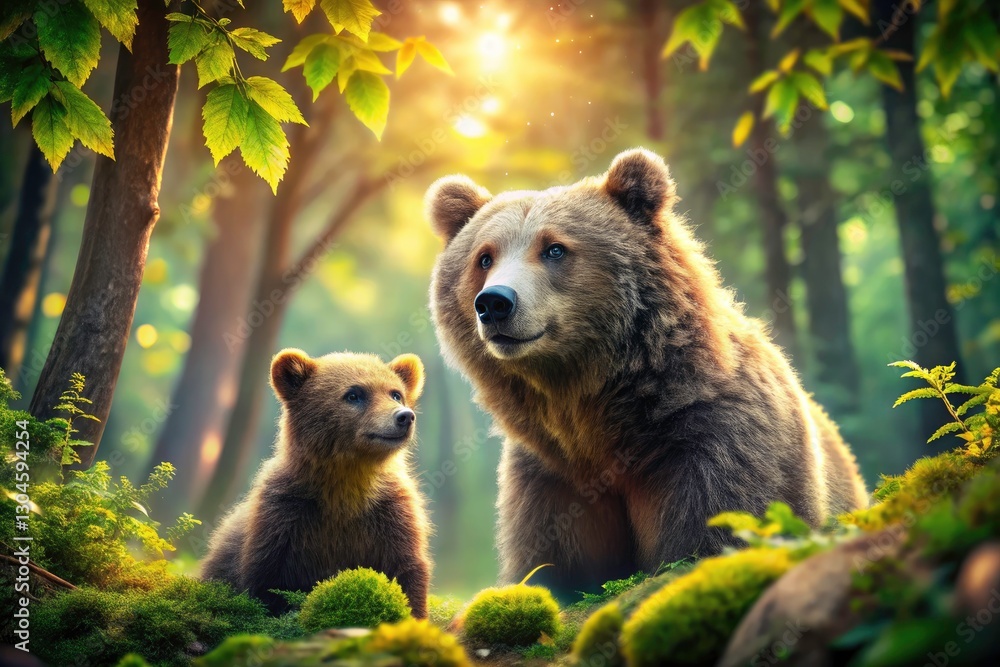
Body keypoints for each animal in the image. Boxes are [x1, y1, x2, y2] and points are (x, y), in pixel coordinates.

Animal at [200, 349, 432, 618]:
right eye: (354, 394)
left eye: (396, 393)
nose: (404, 416)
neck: (346, 481)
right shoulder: (285, 515)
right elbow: (268, 580)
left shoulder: (391, 513)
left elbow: (406, 570)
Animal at [425, 147, 868, 598]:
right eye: (484, 256)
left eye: (554, 249)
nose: (494, 303)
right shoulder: (550, 473)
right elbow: (549, 563)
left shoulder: (714, 443)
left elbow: (716, 526)